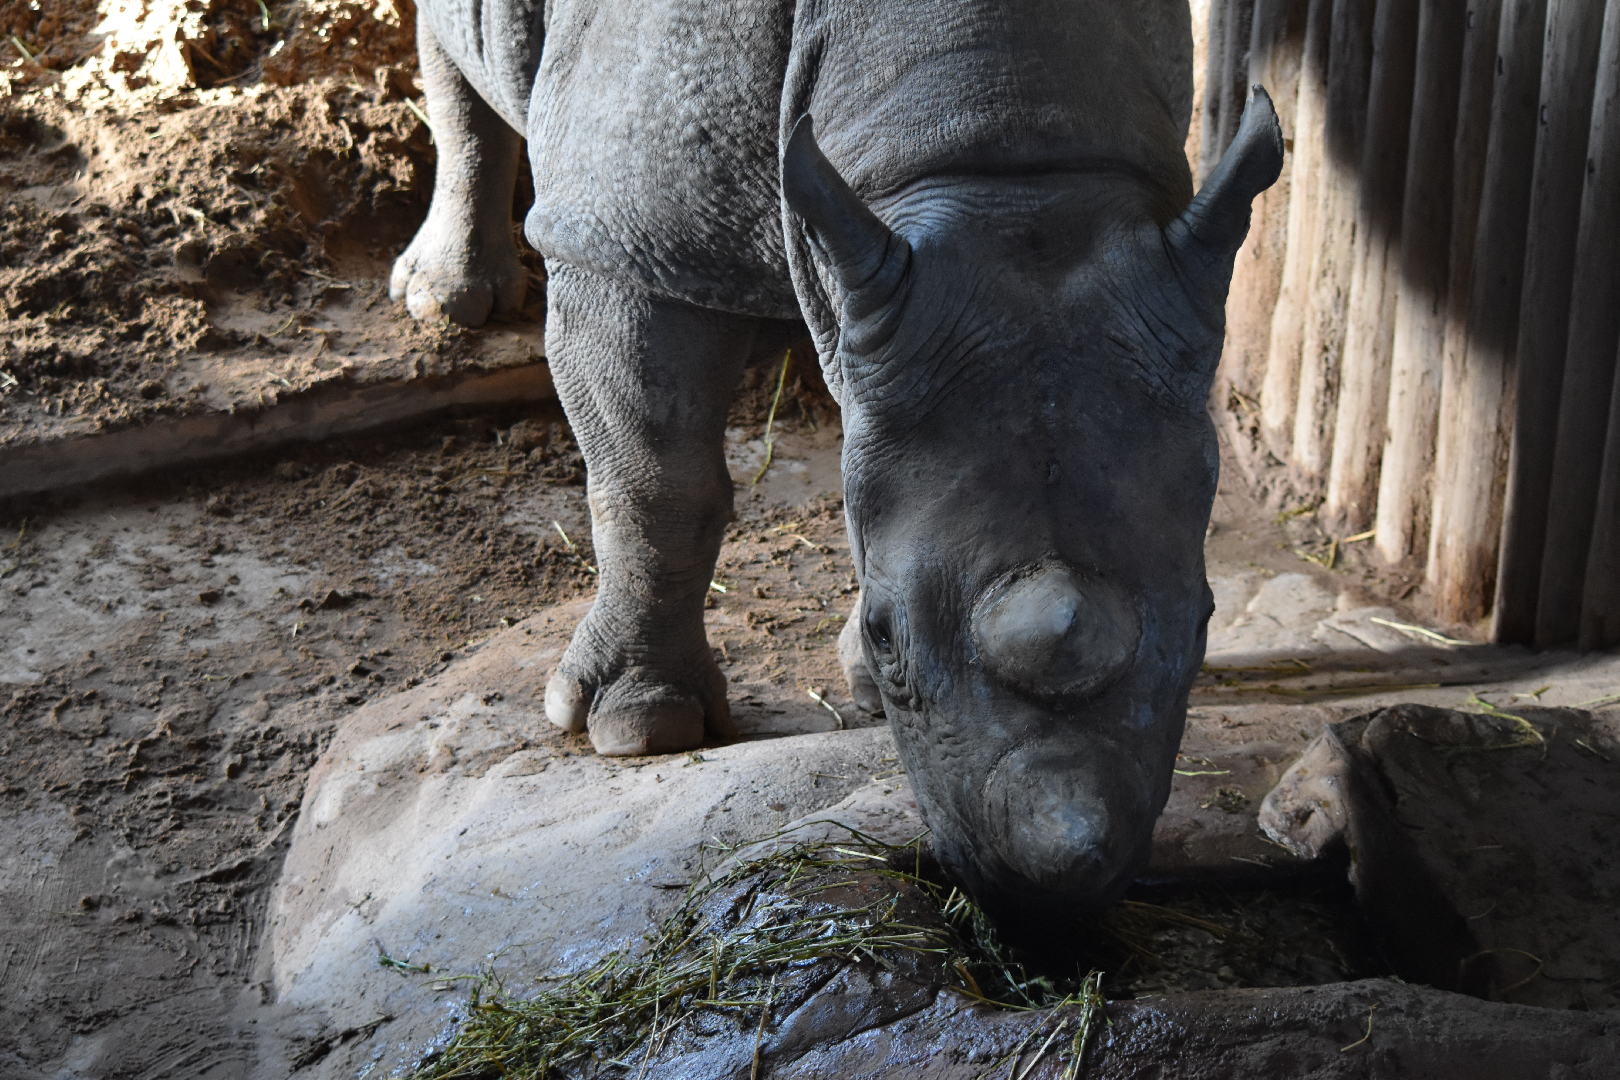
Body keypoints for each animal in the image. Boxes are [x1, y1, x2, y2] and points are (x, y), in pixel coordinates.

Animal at [390, 0, 1283, 932]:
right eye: (892, 635)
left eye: (1207, 624)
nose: (1052, 894)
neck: (999, 158)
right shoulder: (626, 244)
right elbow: (655, 484)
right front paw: (640, 729)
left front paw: (855, 689)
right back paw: (445, 299)